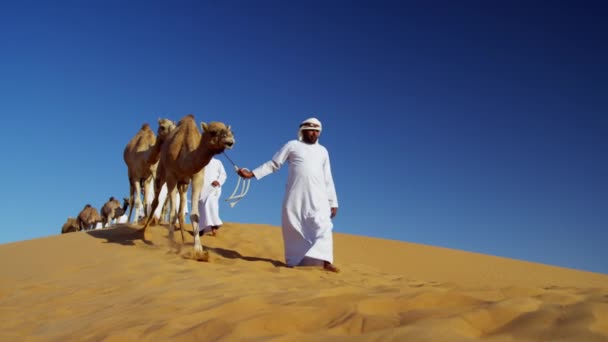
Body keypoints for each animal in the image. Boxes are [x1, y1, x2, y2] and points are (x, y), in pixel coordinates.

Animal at [143, 113, 235, 260]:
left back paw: (183, 240)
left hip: (183, 184)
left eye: (229, 130)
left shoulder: (197, 176)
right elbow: (172, 213)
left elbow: (194, 214)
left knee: (181, 211)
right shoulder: (171, 176)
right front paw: (171, 245)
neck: (184, 158)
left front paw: (198, 251)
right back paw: (144, 231)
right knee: (156, 201)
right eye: (212, 131)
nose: (230, 141)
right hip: (160, 174)